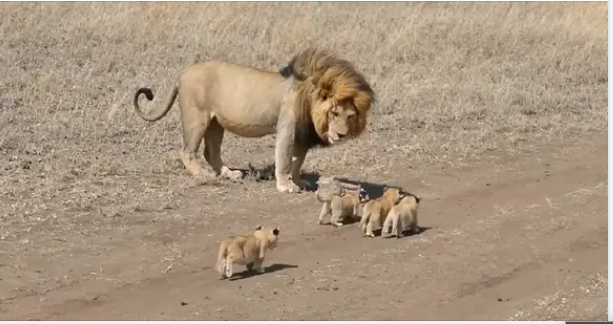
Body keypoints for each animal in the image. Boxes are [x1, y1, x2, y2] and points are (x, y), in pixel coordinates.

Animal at [133, 47, 372, 194]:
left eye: (350, 116)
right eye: (334, 113)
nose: (341, 134)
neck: (309, 98)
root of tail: (182, 74)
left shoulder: (302, 135)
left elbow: (297, 161)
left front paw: (297, 181)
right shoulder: (287, 128)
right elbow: (285, 159)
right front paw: (285, 186)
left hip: (215, 123)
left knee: (211, 153)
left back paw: (229, 174)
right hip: (197, 117)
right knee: (187, 152)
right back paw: (203, 175)